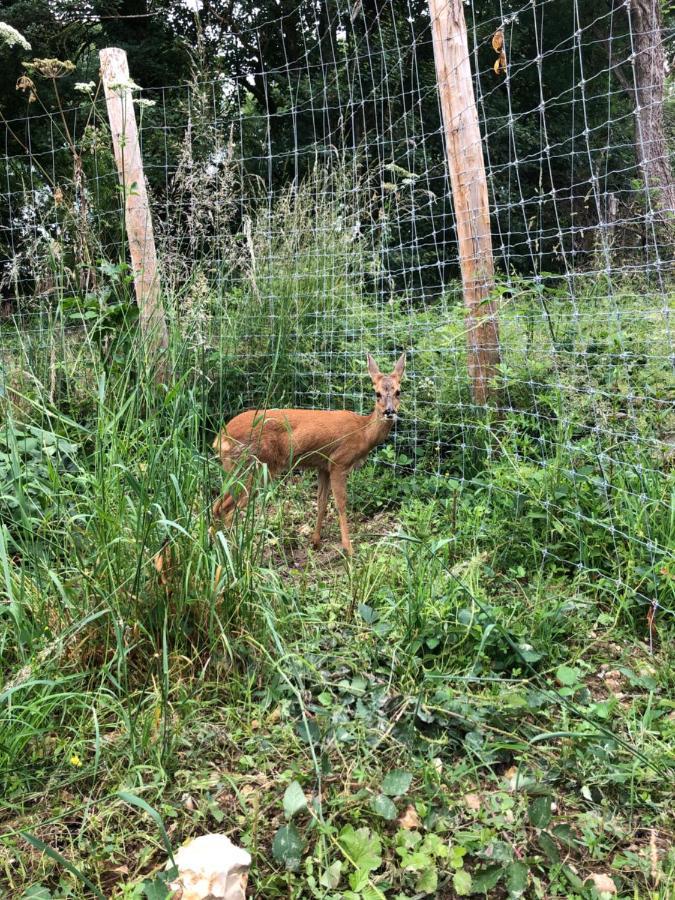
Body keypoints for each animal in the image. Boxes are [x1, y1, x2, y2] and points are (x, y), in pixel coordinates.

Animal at [213, 354, 406, 556]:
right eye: (377, 393)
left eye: (398, 392)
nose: (389, 412)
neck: (362, 433)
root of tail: (220, 439)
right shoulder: (339, 462)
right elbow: (341, 504)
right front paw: (348, 548)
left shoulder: (323, 466)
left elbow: (321, 502)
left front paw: (315, 542)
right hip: (255, 466)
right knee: (225, 509)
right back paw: (233, 553)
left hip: (239, 469)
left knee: (217, 506)